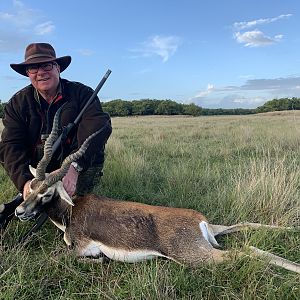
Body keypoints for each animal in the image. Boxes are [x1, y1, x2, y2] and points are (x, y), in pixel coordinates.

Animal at [14, 112, 300, 274]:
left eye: (47, 193)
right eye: (32, 186)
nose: (19, 211)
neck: (71, 212)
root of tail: (198, 221)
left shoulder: (80, 249)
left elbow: (63, 258)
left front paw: (101, 262)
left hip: (197, 256)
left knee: (245, 252)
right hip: (213, 235)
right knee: (246, 229)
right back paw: (291, 231)